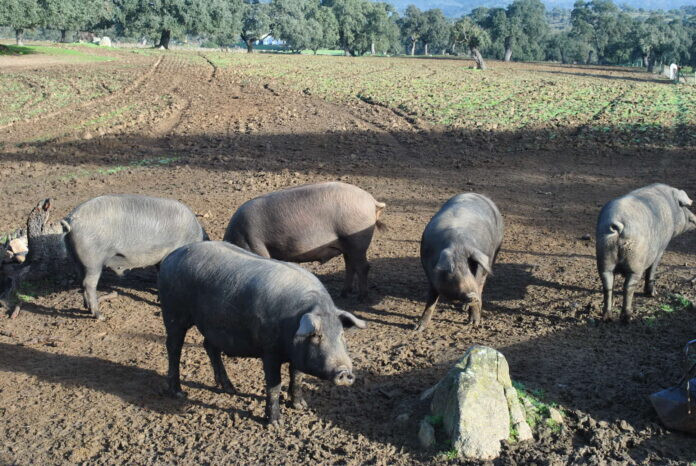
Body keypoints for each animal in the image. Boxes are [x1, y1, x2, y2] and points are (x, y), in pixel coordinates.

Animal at [62, 194, 207, 320]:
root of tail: (71, 220)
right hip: (93, 261)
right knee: (89, 284)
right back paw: (100, 316)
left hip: (77, 259)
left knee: (81, 281)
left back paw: (86, 307)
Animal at [158, 241, 366, 424]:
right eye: (316, 336)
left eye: (341, 335)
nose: (344, 371)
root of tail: (172, 256)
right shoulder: (269, 350)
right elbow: (274, 385)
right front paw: (275, 423)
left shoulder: (297, 354)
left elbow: (297, 377)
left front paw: (300, 406)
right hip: (173, 311)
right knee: (173, 346)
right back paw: (179, 392)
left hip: (212, 325)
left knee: (209, 346)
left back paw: (231, 389)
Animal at [223, 182, 386, 301]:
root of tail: (371, 201)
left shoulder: (256, 247)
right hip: (348, 244)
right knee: (350, 266)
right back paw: (343, 294)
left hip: (356, 241)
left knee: (363, 267)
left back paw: (361, 298)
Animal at [414, 193, 504, 332]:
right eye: (453, 273)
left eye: (470, 270)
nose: (472, 295)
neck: (458, 245)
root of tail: (481, 195)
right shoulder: (431, 277)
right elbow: (431, 301)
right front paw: (418, 328)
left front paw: (473, 324)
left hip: (494, 253)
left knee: (482, 285)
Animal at [596, 183, 696, 323]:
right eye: (684, 206)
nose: (694, 218)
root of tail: (618, 224)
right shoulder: (660, 249)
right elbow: (652, 270)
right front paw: (653, 294)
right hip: (635, 262)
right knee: (628, 287)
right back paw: (628, 318)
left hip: (604, 258)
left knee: (607, 285)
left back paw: (607, 317)